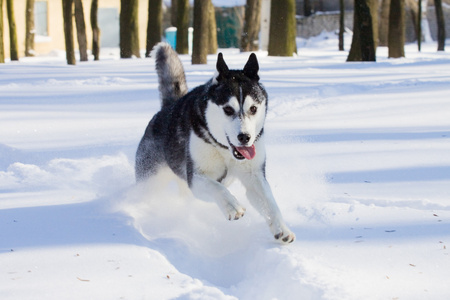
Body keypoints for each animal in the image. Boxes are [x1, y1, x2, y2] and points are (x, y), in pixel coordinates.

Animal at [134, 42, 296, 244]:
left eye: (253, 108)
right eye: (228, 109)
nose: (245, 137)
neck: (224, 149)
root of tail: (167, 109)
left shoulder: (253, 175)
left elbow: (269, 202)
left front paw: (282, 228)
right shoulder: (196, 177)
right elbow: (217, 187)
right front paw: (232, 206)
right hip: (150, 178)